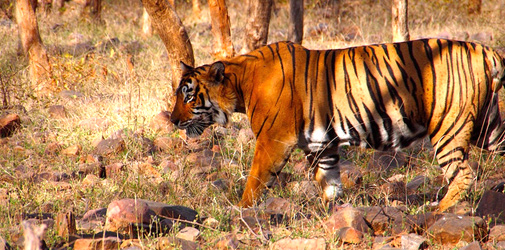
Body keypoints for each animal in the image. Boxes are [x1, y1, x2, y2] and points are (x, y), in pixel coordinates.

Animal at [168, 38, 504, 211]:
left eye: (187, 96)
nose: (172, 120)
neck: (240, 83)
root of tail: (485, 50)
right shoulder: (321, 145)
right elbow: (329, 183)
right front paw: (330, 213)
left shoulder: (272, 141)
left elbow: (254, 179)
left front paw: (241, 209)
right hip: (488, 127)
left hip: (448, 127)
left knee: (463, 176)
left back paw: (436, 211)